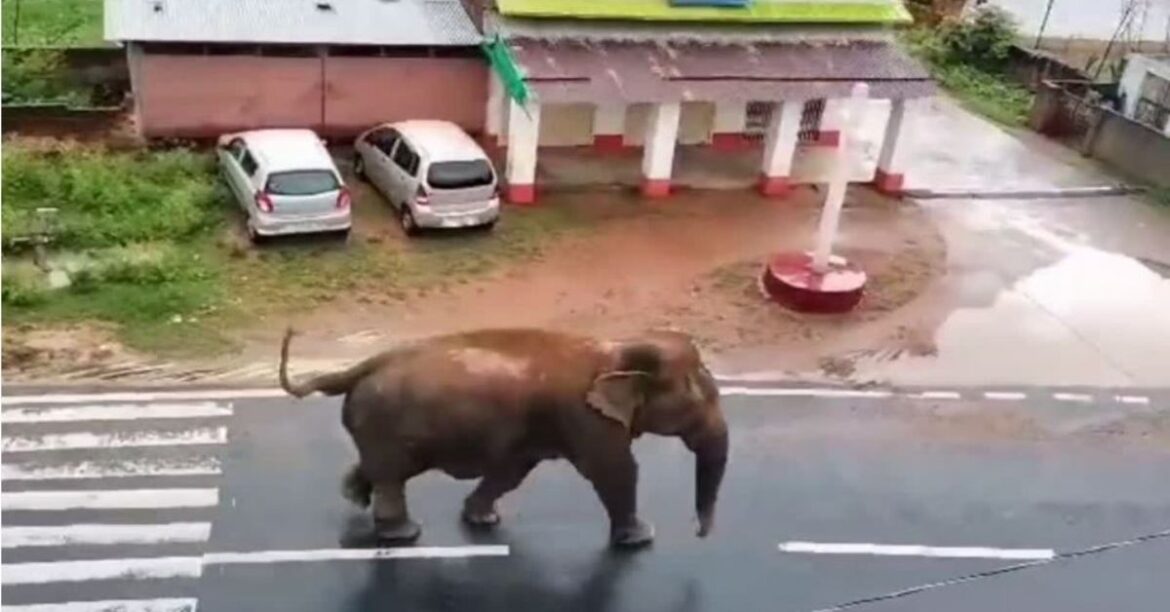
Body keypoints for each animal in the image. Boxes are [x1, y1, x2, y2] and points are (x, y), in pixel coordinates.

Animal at [278, 327, 728, 549]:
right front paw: (640, 539)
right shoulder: (584, 418)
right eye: (700, 398)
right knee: (392, 476)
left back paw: (355, 498)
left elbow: (513, 470)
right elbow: (615, 470)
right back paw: (403, 535)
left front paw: (482, 519)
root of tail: (358, 367)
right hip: (386, 424)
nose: (699, 533)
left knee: (377, 468)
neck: (617, 350)